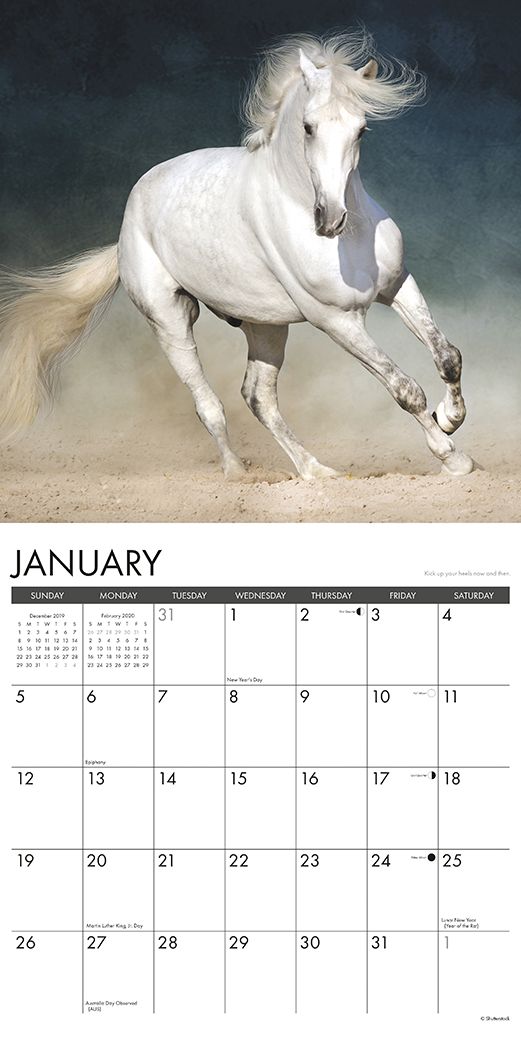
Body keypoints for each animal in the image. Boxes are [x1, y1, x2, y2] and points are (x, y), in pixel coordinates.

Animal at [0, 31, 473, 479]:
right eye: (308, 127)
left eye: (361, 130)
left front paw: (449, 418)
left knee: (258, 396)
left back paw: (315, 471)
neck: (348, 238)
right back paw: (237, 473)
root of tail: (125, 226)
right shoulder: (336, 320)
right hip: (171, 319)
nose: (330, 219)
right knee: (208, 402)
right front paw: (453, 458)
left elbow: (448, 356)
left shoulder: (397, 286)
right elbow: (404, 388)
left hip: (266, 326)